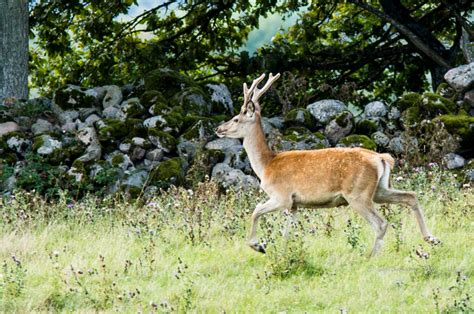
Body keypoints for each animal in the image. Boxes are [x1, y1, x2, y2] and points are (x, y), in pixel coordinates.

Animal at [215, 73, 440, 255]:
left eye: (236, 119)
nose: (219, 128)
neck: (266, 165)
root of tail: (382, 158)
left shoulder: (282, 196)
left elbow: (255, 211)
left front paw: (258, 246)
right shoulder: (294, 205)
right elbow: (287, 232)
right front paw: (284, 254)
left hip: (357, 194)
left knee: (381, 223)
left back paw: (371, 257)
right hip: (379, 189)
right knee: (410, 196)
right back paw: (432, 238)